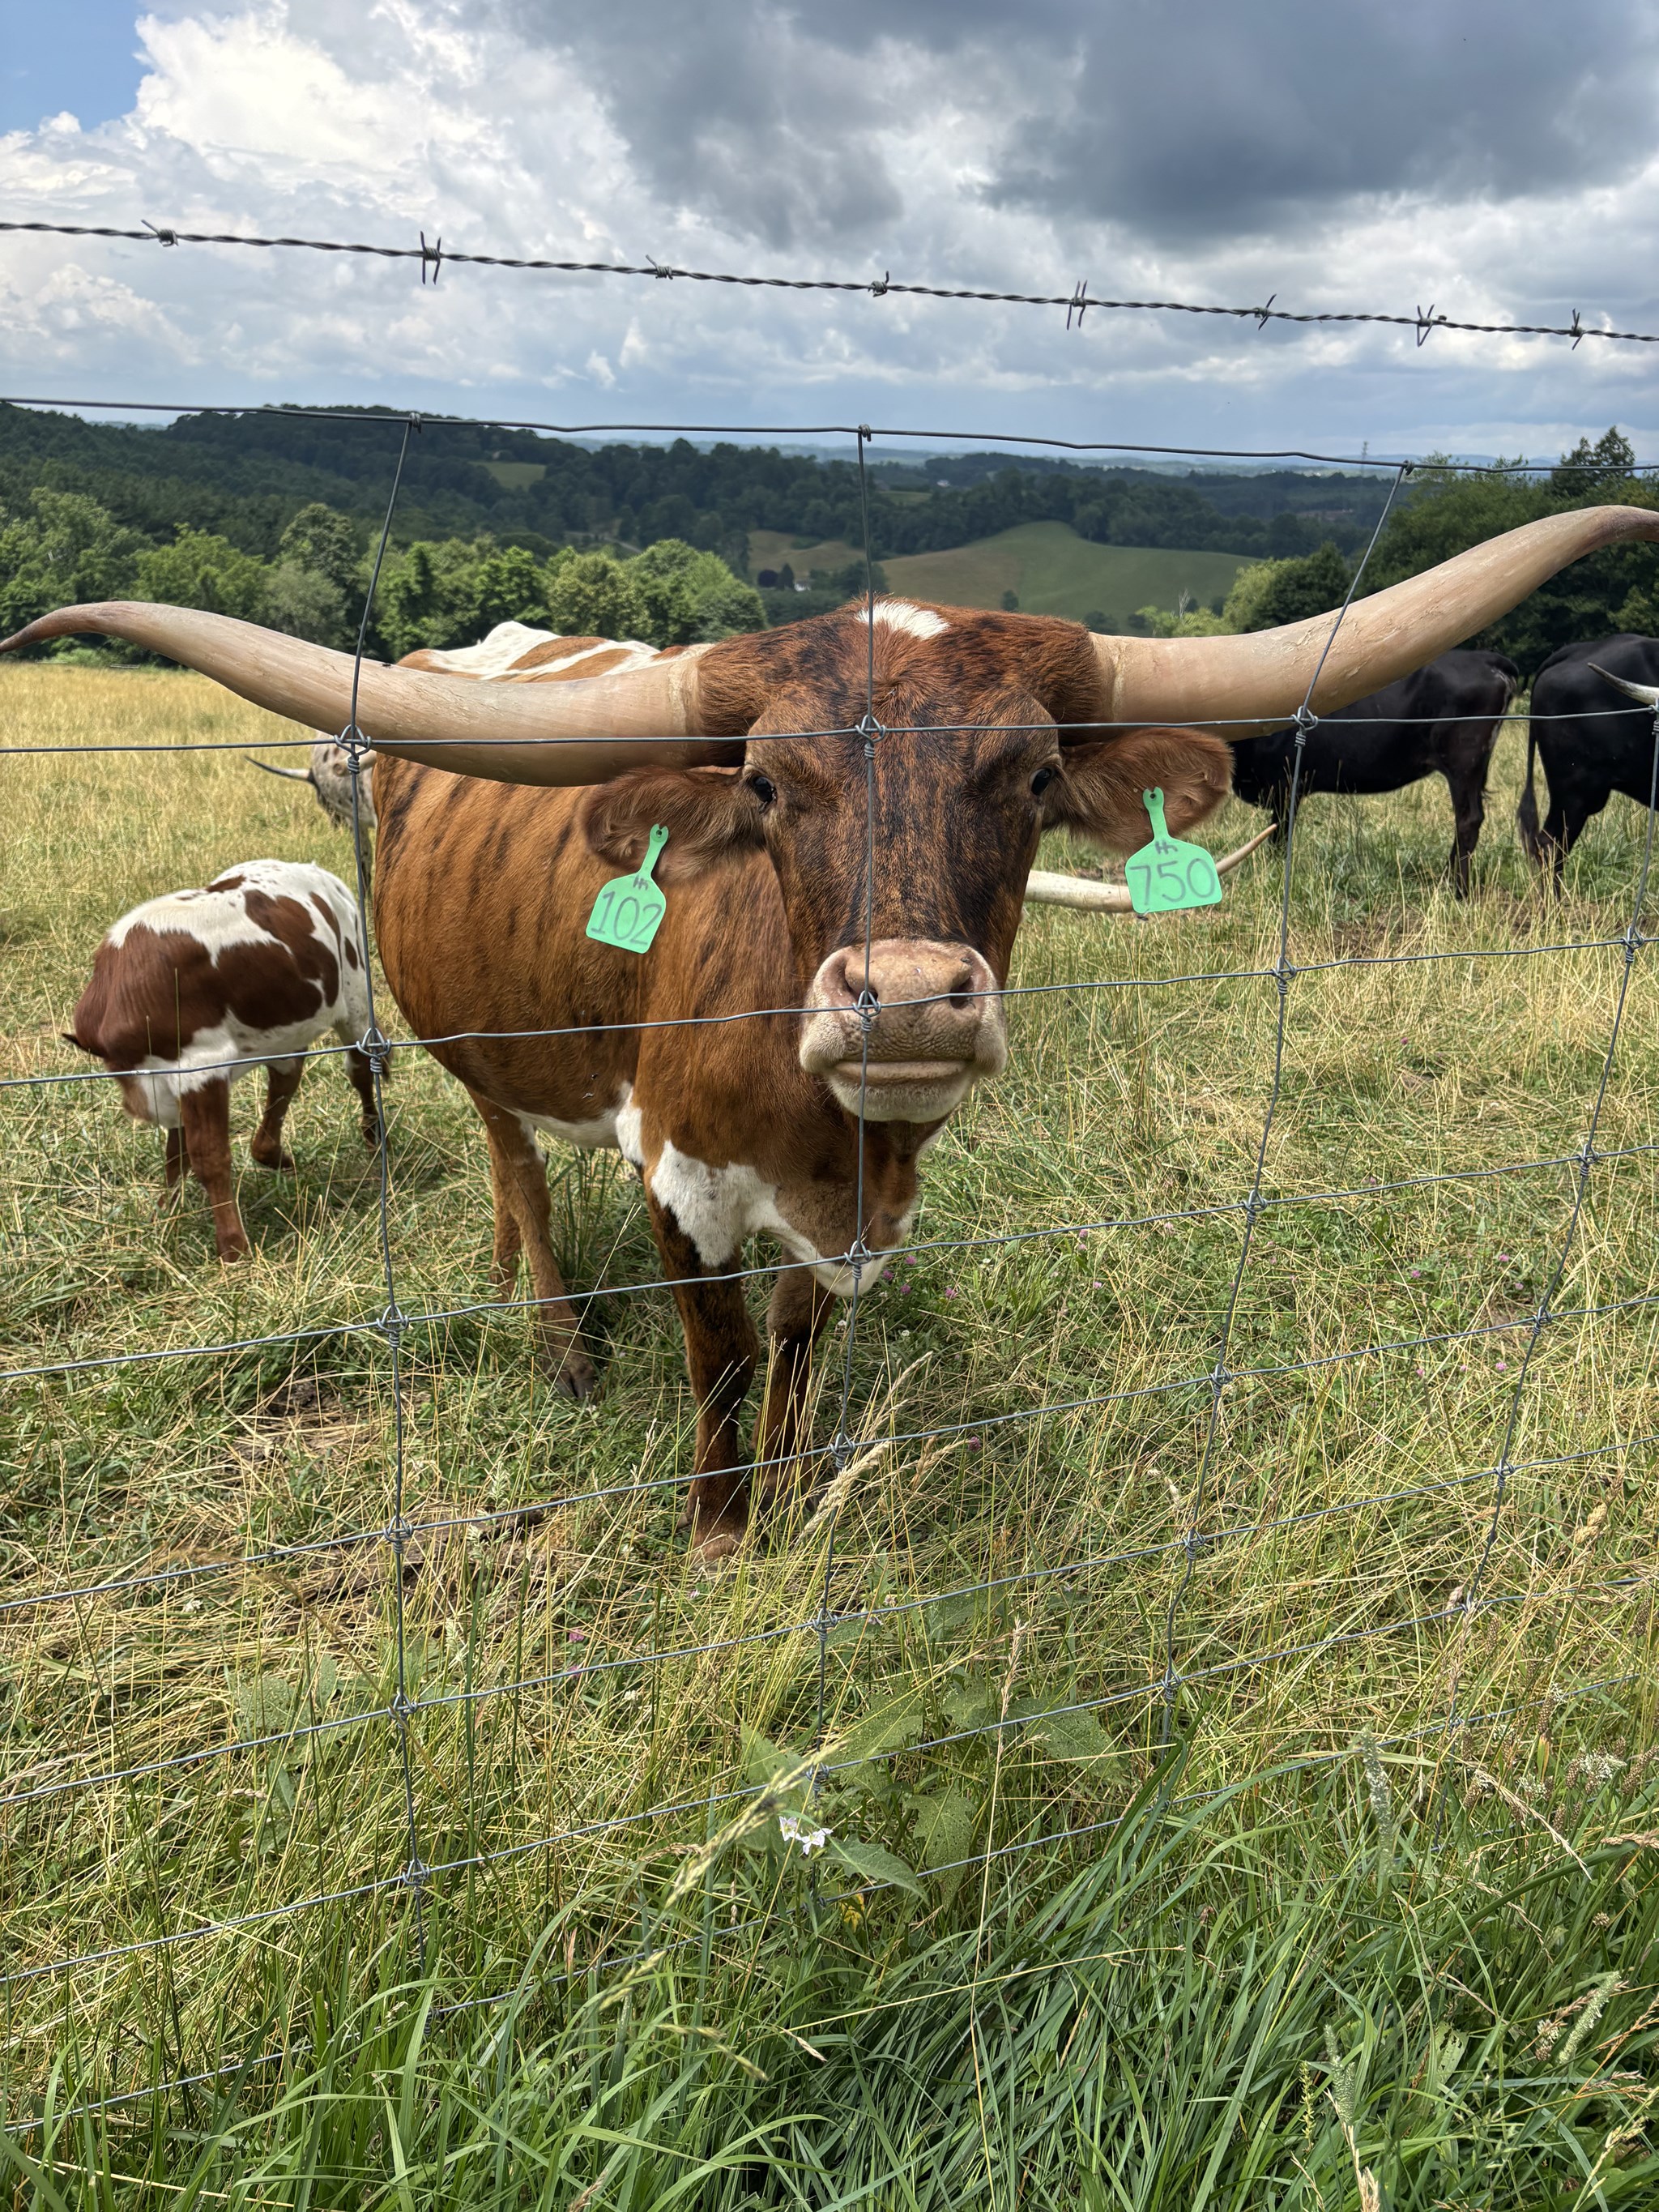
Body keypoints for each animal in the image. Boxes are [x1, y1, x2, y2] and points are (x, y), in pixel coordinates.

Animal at [62, 860, 379, 1261]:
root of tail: (317, 871)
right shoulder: (170, 1081)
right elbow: (175, 1153)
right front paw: (167, 1212)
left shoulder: (200, 1067)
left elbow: (207, 1157)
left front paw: (233, 1245)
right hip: (282, 1020)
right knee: (286, 1077)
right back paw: (274, 1154)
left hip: (354, 997)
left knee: (359, 1069)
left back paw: (373, 1138)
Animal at [1227, 649, 1521, 894]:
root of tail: (1484, 658)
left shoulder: (1287, 784)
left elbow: (1279, 836)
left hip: (1463, 760)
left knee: (1468, 819)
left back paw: (1457, 889)